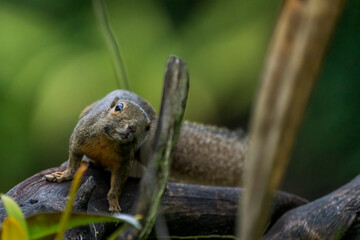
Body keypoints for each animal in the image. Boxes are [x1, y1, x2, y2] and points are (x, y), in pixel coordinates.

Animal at [45, 89, 248, 212]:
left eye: (147, 127)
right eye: (119, 108)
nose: (132, 128)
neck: (109, 142)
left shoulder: (124, 162)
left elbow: (118, 183)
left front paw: (114, 201)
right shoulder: (80, 135)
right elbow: (74, 158)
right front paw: (64, 175)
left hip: (148, 149)